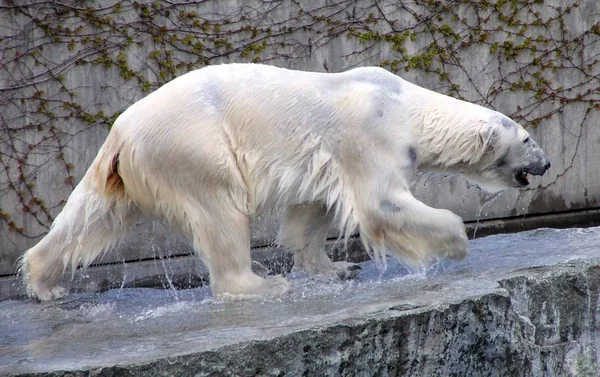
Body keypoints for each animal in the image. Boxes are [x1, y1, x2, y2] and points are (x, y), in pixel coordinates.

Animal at [21, 64, 552, 300]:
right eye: (528, 137)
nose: (547, 164)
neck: (404, 103)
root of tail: (120, 130)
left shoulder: (328, 158)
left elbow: (312, 209)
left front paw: (335, 268)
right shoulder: (368, 136)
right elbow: (381, 204)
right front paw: (455, 245)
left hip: (128, 170)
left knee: (94, 217)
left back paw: (45, 283)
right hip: (195, 148)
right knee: (220, 212)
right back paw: (259, 284)